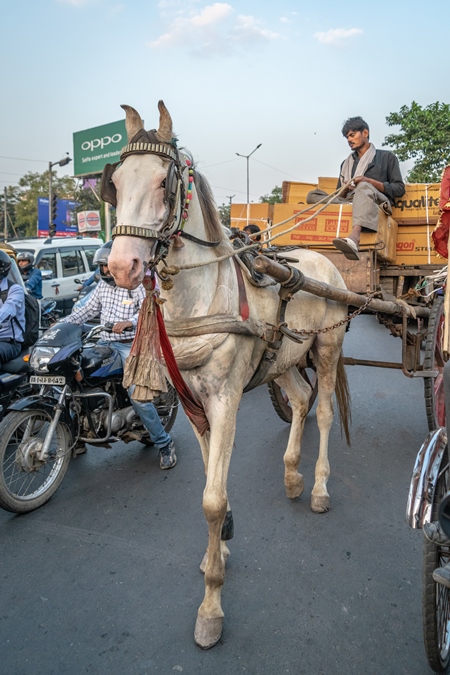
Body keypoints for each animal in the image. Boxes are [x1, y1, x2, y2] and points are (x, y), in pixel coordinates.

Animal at [106, 100, 352, 648]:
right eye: (115, 183)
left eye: (164, 183)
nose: (122, 267)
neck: (201, 296)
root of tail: (323, 259)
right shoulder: (193, 402)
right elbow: (207, 483)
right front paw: (215, 551)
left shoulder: (226, 399)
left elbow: (212, 501)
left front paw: (211, 607)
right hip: (283, 360)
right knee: (299, 399)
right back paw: (292, 474)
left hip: (327, 346)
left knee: (324, 411)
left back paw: (319, 488)